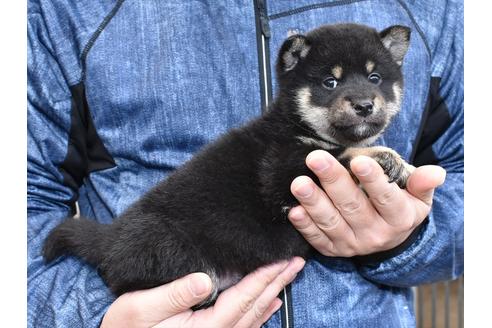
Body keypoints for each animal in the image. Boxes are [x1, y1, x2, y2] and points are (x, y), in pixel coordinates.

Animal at [43, 23, 412, 304]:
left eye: (375, 78)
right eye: (329, 82)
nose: (364, 105)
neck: (297, 125)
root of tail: (108, 239)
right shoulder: (282, 172)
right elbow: (339, 154)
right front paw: (386, 157)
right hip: (167, 247)